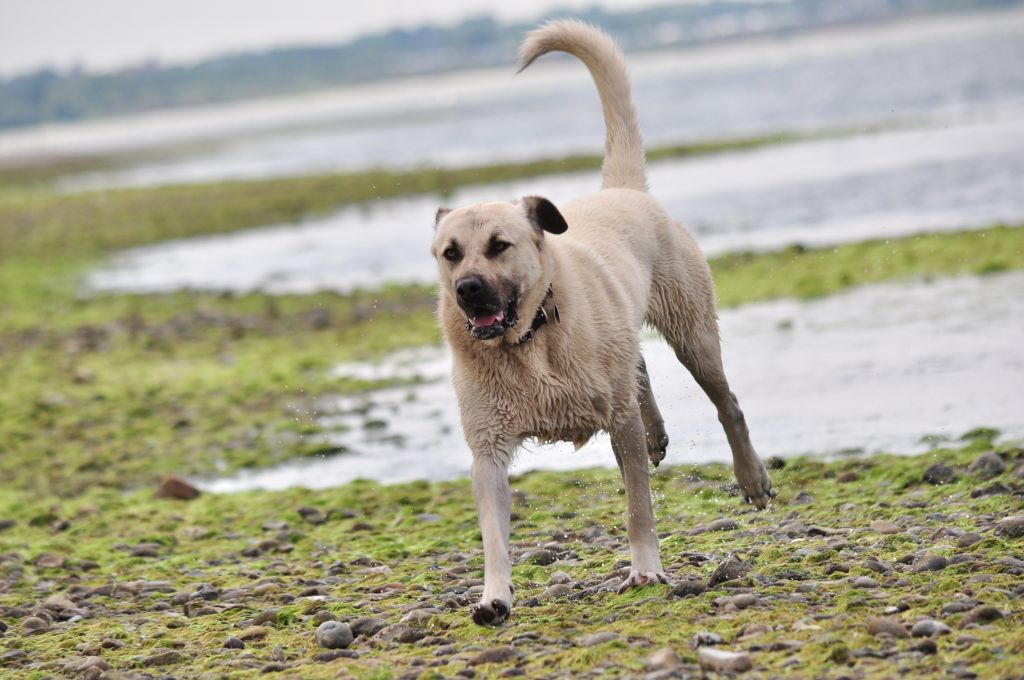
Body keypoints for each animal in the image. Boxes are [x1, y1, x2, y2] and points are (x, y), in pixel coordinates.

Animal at [432, 19, 774, 626]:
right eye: (450, 253)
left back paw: (750, 477)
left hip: (692, 332)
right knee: (638, 365)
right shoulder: (488, 447)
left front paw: (646, 570)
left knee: (725, 400)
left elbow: (639, 506)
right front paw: (494, 597)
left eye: (499, 245)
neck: (531, 339)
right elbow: (494, 533)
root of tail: (623, 190)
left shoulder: (618, 423)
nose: (468, 290)